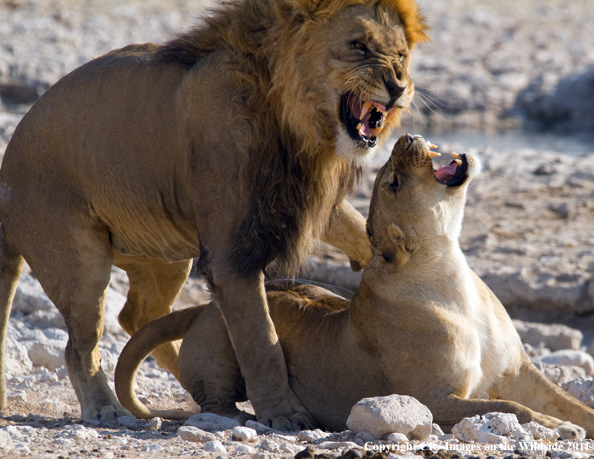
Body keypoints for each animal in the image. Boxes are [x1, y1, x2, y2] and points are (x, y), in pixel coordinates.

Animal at [0, 0, 426, 428]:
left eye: (401, 55)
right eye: (358, 46)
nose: (399, 86)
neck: (299, 126)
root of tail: (7, 165)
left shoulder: (304, 199)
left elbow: (355, 228)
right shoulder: (230, 254)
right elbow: (261, 343)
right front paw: (283, 415)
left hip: (166, 256)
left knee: (138, 316)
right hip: (79, 261)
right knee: (80, 345)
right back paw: (106, 408)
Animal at [114, 133, 592, 438]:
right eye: (394, 182)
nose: (408, 136)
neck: (449, 268)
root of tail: (202, 308)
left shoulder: (518, 371)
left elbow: (564, 402)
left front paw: (572, 419)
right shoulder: (433, 399)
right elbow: (511, 408)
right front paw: (560, 429)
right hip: (222, 341)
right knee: (215, 401)